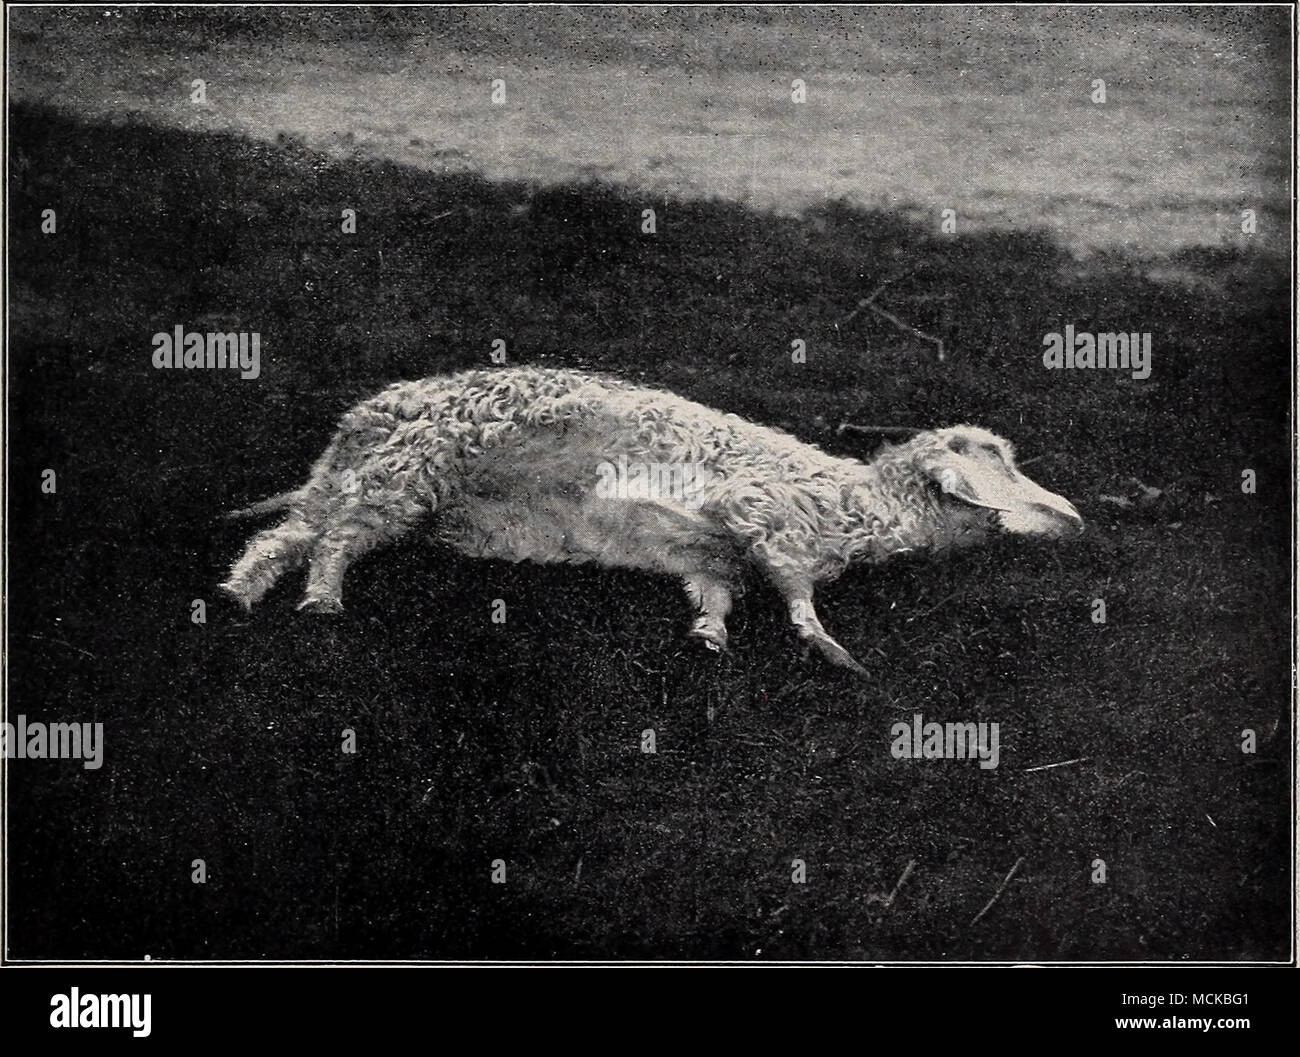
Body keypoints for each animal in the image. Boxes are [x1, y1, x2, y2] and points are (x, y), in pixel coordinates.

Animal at [219, 366, 1082, 672]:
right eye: (998, 461)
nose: (1073, 516)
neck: (855, 497)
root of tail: (362, 416)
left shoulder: (711, 555)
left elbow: (717, 595)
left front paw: (710, 639)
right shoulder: (762, 520)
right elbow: (799, 596)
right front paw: (836, 652)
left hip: (373, 484)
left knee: (284, 535)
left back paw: (238, 593)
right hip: (400, 478)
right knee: (330, 541)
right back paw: (322, 598)